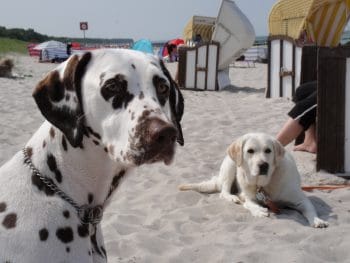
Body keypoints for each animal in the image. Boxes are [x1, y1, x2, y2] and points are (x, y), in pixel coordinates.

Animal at [179, 134, 330, 229]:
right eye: (250, 151)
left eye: (268, 150)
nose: (263, 165)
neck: (263, 184)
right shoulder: (249, 197)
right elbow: (250, 204)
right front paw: (259, 211)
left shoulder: (300, 199)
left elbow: (310, 209)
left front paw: (317, 220)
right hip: (231, 166)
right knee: (224, 192)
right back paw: (233, 197)